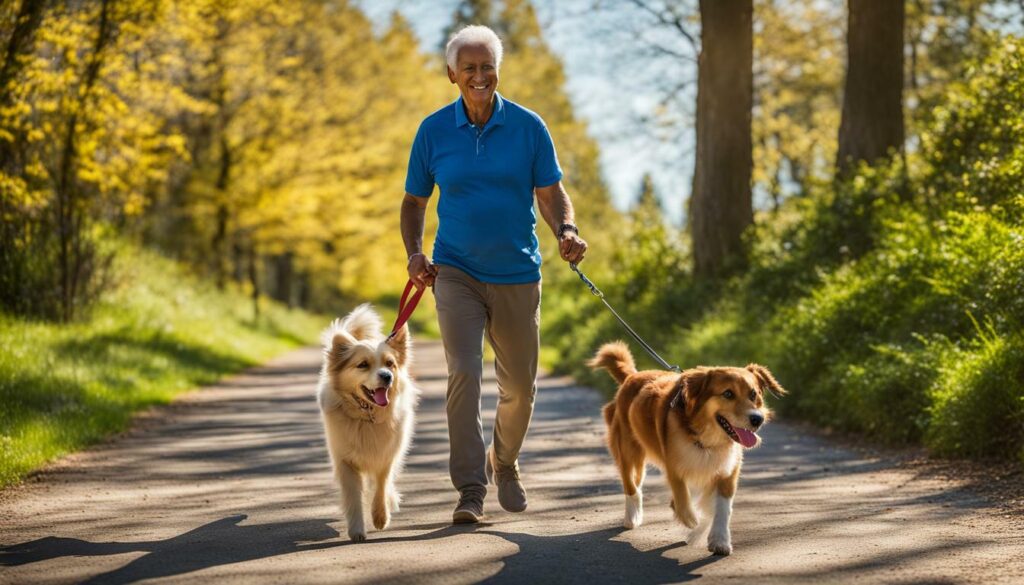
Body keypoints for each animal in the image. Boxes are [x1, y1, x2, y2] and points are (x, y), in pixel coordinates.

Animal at [317, 305, 417, 540]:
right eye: (362, 365)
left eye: (390, 364)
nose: (387, 376)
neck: (367, 417)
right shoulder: (345, 461)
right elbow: (353, 497)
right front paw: (356, 530)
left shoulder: (387, 455)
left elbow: (381, 485)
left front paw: (380, 516)